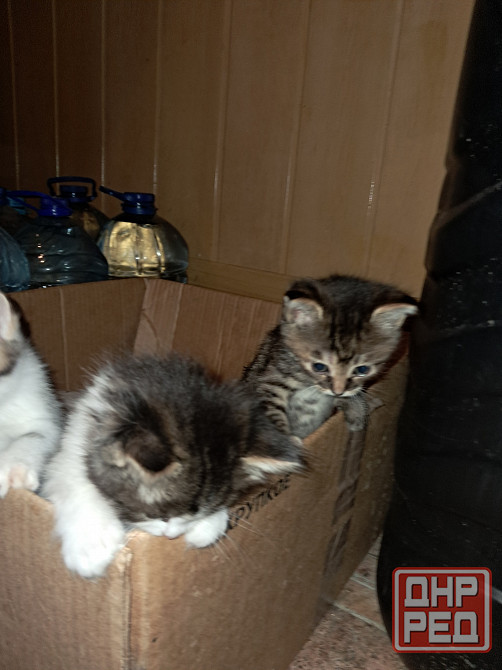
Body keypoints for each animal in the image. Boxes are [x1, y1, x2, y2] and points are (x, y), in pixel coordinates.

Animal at [43, 352, 305, 579]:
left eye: (198, 512)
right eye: (157, 515)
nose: (171, 536)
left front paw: (208, 526)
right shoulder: (67, 448)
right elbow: (77, 480)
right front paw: (91, 546)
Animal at [242, 274, 418, 440]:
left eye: (362, 369)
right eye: (319, 367)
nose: (338, 392)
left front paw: (357, 409)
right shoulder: (270, 376)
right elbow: (267, 404)